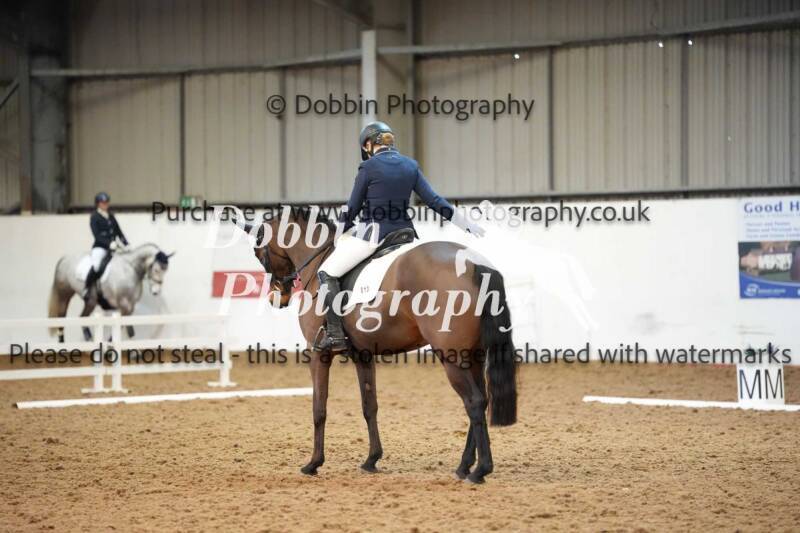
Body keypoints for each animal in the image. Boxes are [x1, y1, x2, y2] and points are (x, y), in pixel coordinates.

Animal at [235, 208, 517, 484]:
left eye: (259, 253)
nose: (277, 298)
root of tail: (474, 262)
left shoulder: (318, 352)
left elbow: (319, 408)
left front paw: (313, 463)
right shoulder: (363, 355)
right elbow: (369, 406)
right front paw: (371, 460)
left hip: (452, 358)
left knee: (474, 402)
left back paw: (479, 471)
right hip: (473, 355)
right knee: (481, 400)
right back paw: (464, 467)